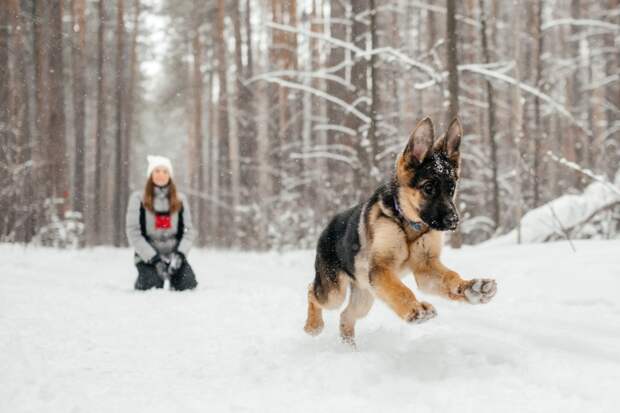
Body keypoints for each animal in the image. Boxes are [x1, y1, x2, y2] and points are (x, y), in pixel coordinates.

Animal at [306, 116, 498, 344]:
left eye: (451, 189)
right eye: (428, 188)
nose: (454, 221)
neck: (408, 224)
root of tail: (328, 225)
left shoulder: (426, 267)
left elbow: (450, 276)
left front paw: (471, 288)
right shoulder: (381, 269)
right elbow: (399, 290)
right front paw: (415, 310)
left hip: (365, 294)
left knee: (346, 315)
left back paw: (349, 345)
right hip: (334, 291)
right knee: (312, 292)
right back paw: (313, 326)